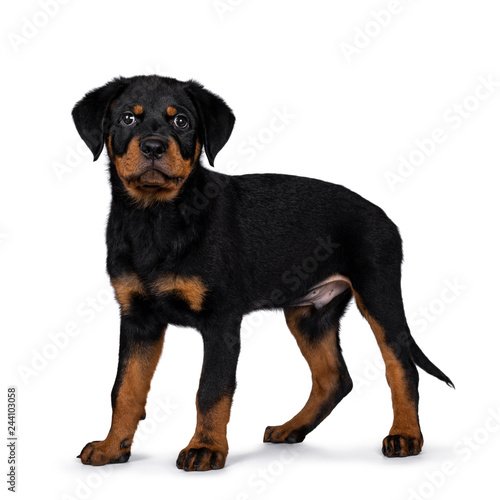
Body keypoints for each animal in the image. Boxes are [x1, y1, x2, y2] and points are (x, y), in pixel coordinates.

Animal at [73, 74, 454, 468]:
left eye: (181, 121)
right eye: (126, 119)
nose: (152, 146)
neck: (155, 217)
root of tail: (386, 218)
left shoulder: (221, 320)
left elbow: (211, 389)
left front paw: (205, 448)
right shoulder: (138, 318)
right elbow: (125, 388)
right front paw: (112, 447)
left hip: (378, 292)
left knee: (401, 366)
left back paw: (405, 435)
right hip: (309, 314)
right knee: (334, 378)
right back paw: (291, 429)